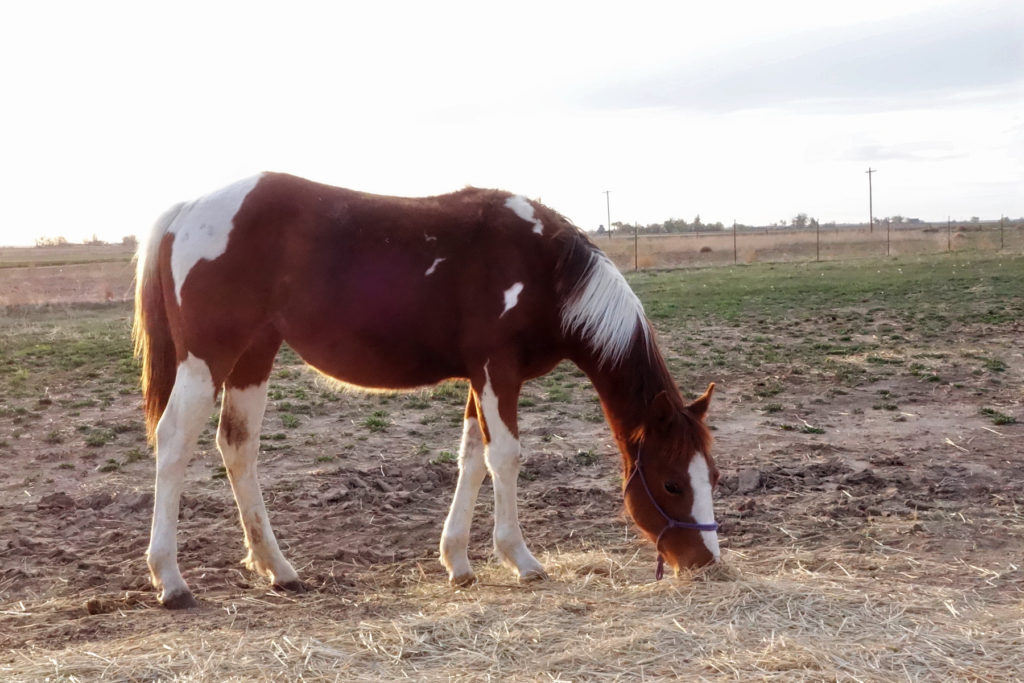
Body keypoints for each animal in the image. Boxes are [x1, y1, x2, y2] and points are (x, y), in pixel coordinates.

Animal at [132, 172, 720, 610]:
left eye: (710, 476)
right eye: (671, 484)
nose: (706, 562)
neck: (544, 268)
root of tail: (186, 210)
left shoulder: (480, 378)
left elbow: (473, 459)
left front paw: (458, 562)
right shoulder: (497, 370)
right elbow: (505, 458)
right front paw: (521, 560)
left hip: (253, 356)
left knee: (237, 446)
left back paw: (276, 569)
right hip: (207, 360)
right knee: (175, 441)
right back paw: (171, 581)